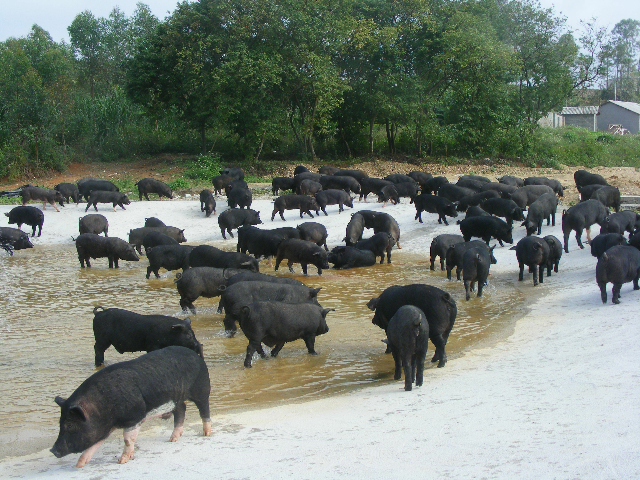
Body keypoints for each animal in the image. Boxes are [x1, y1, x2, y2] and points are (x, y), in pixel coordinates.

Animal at [50, 346, 210, 466]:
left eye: (70, 425)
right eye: (59, 423)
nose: (53, 450)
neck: (102, 406)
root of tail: (196, 356)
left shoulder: (134, 417)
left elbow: (128, 440)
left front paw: (121, 461)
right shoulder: (104, 427)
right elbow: (94, 443)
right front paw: (79, 465)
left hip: (202, 389)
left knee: (204, 410)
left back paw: (206, 433)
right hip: (176, 399)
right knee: (181, 409)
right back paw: (172, 440)